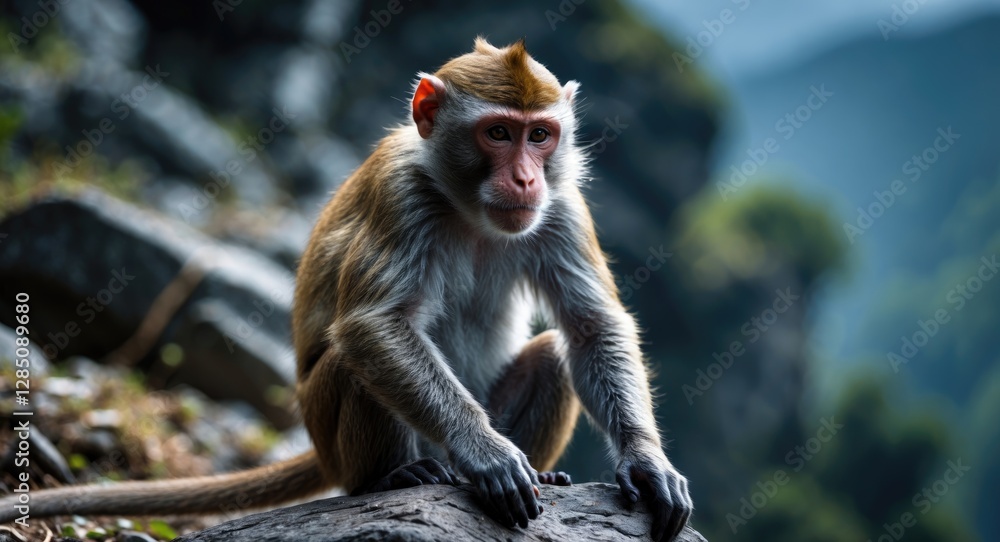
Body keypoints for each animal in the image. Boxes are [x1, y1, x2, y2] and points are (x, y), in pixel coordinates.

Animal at [0, 38, 693, 541]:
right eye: (499, 133)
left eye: (540, 135)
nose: (526, 179)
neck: (465, 207)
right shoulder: (401, 198)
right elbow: (374, 326)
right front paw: (486, 452)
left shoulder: (562, 206)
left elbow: (590, 324)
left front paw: (646, 462)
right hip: (334, 436)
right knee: (353, 359)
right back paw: (397, 478)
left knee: (551, 354)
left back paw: (540, 470)